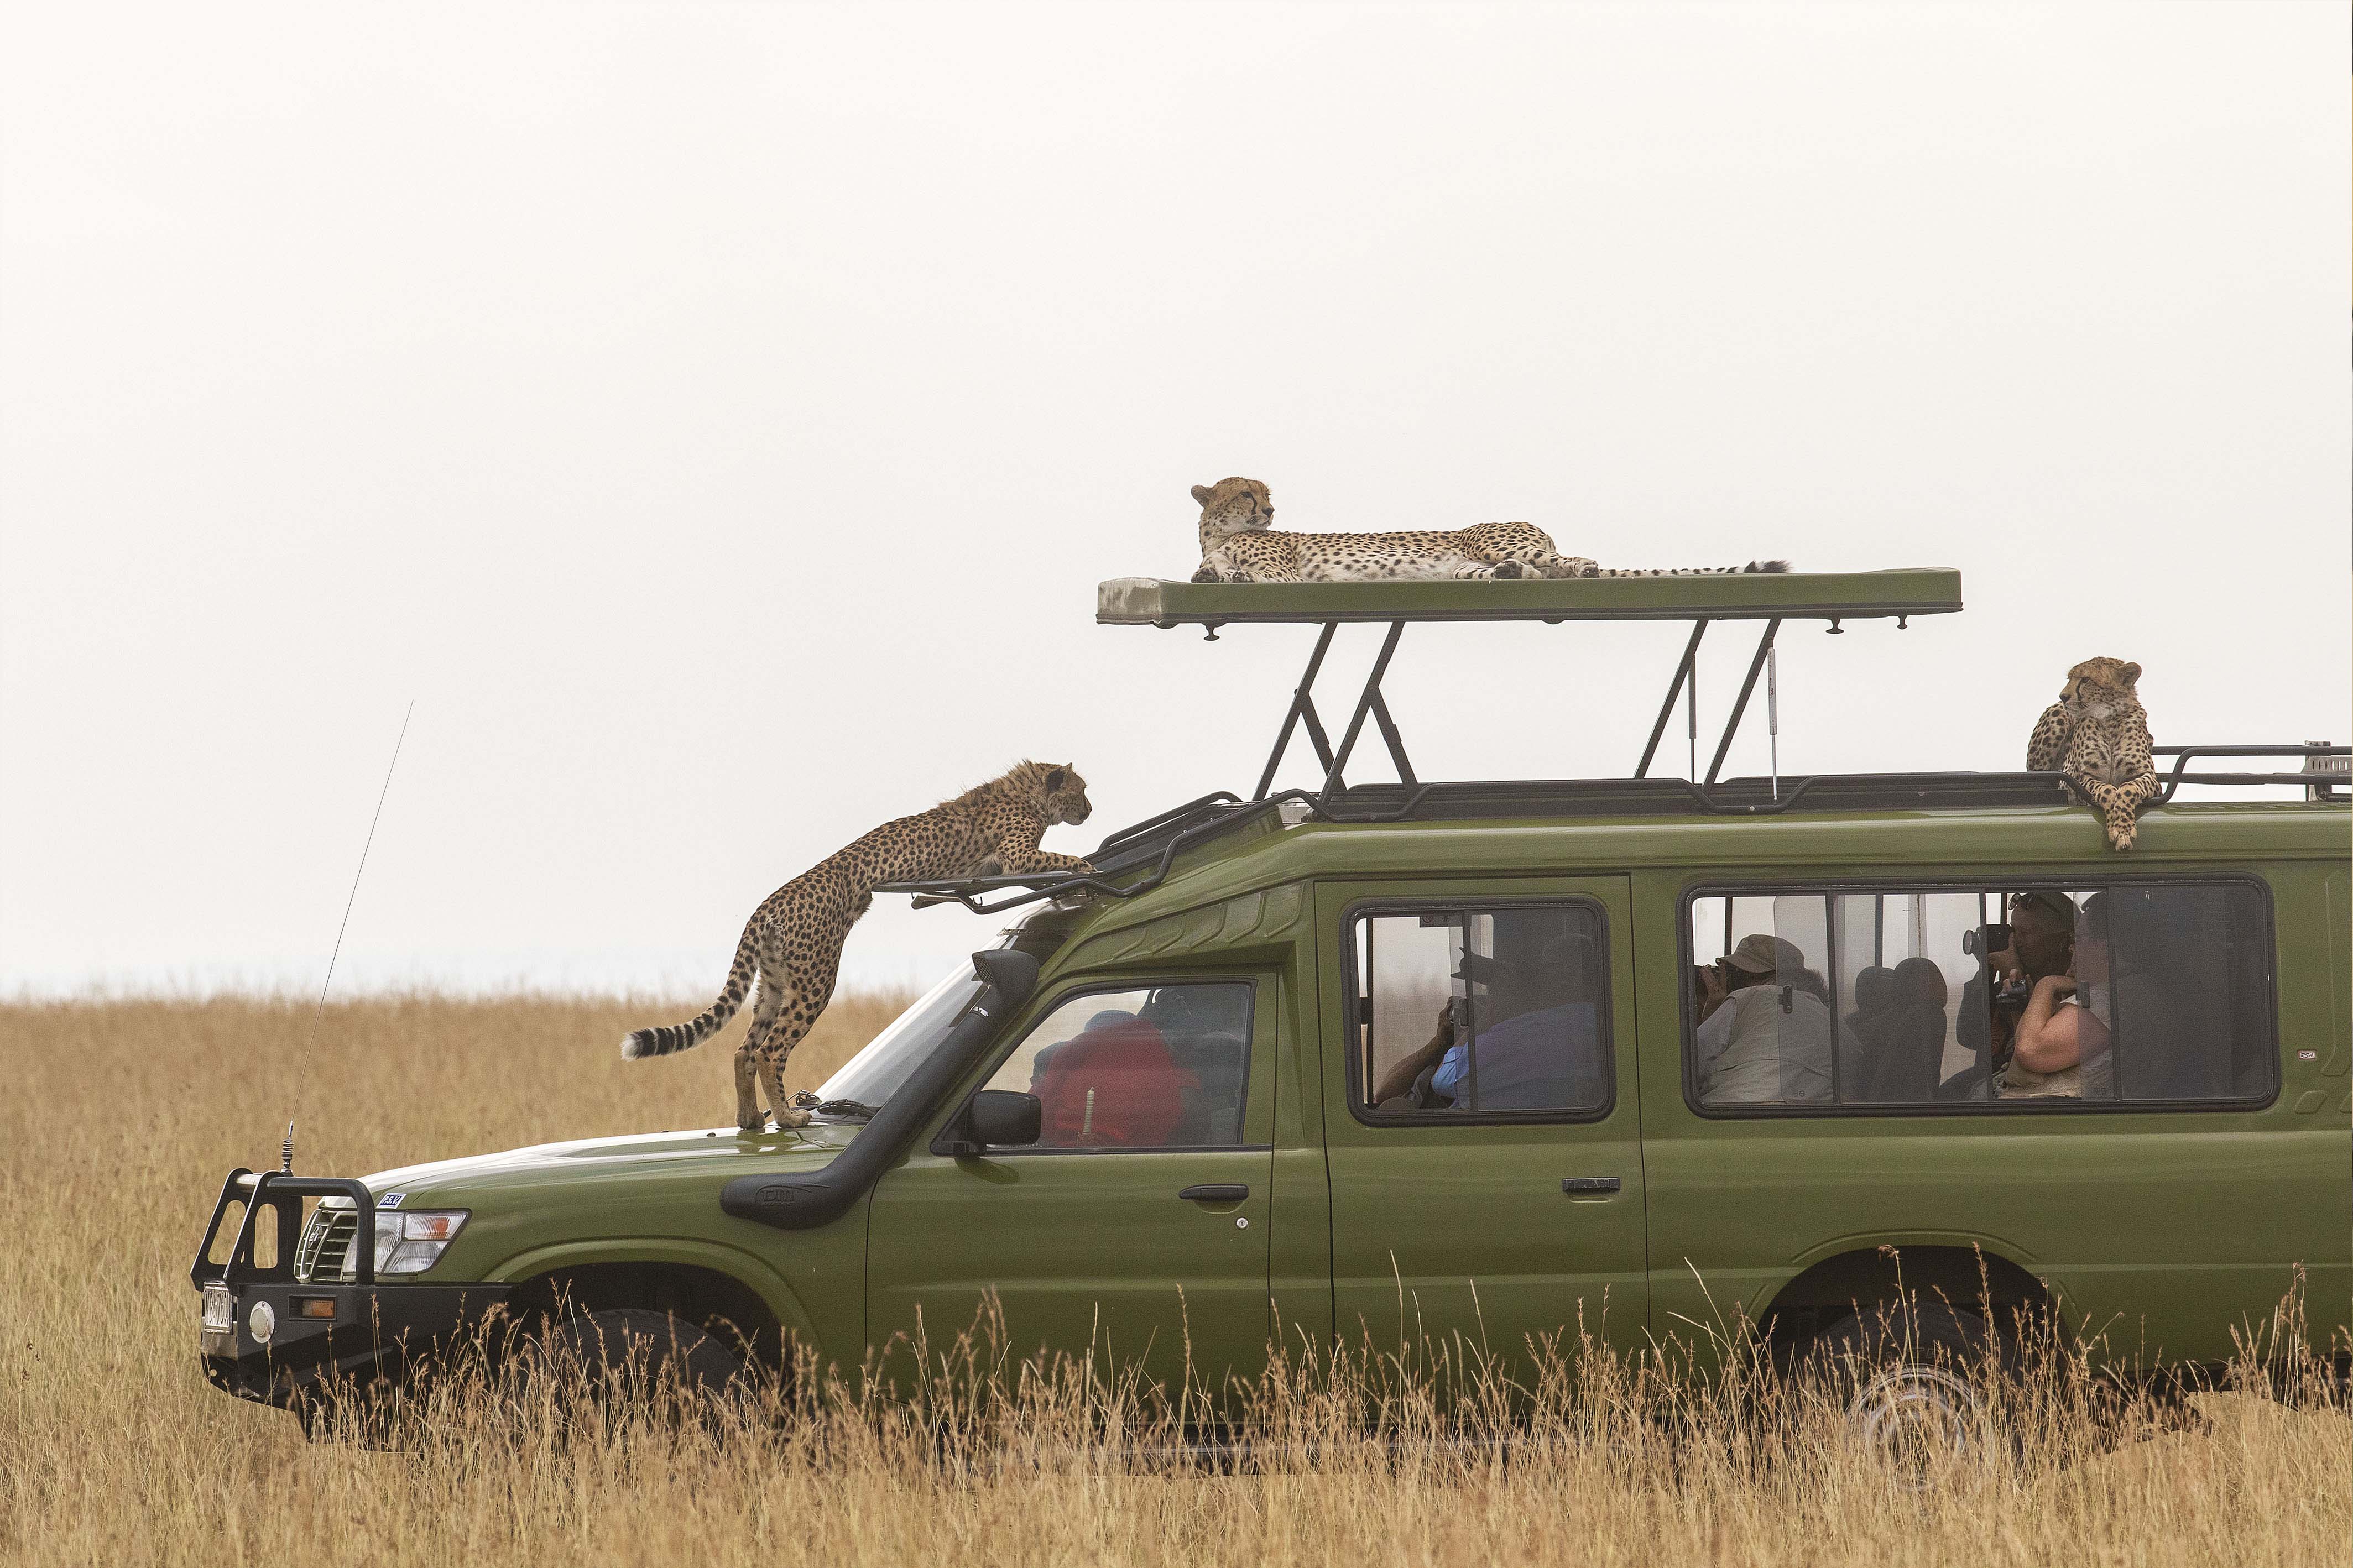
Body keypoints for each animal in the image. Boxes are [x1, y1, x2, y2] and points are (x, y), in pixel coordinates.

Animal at [2033, 658, 2155, 851]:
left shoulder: (2149, 777)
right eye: (2069, 678)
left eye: (2086, 680)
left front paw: (2123, 828)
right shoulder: (2082, 779)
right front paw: (2117, 827)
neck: (2110, 718)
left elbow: (2128, 788)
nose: (2063, 697)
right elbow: (2108, 790)